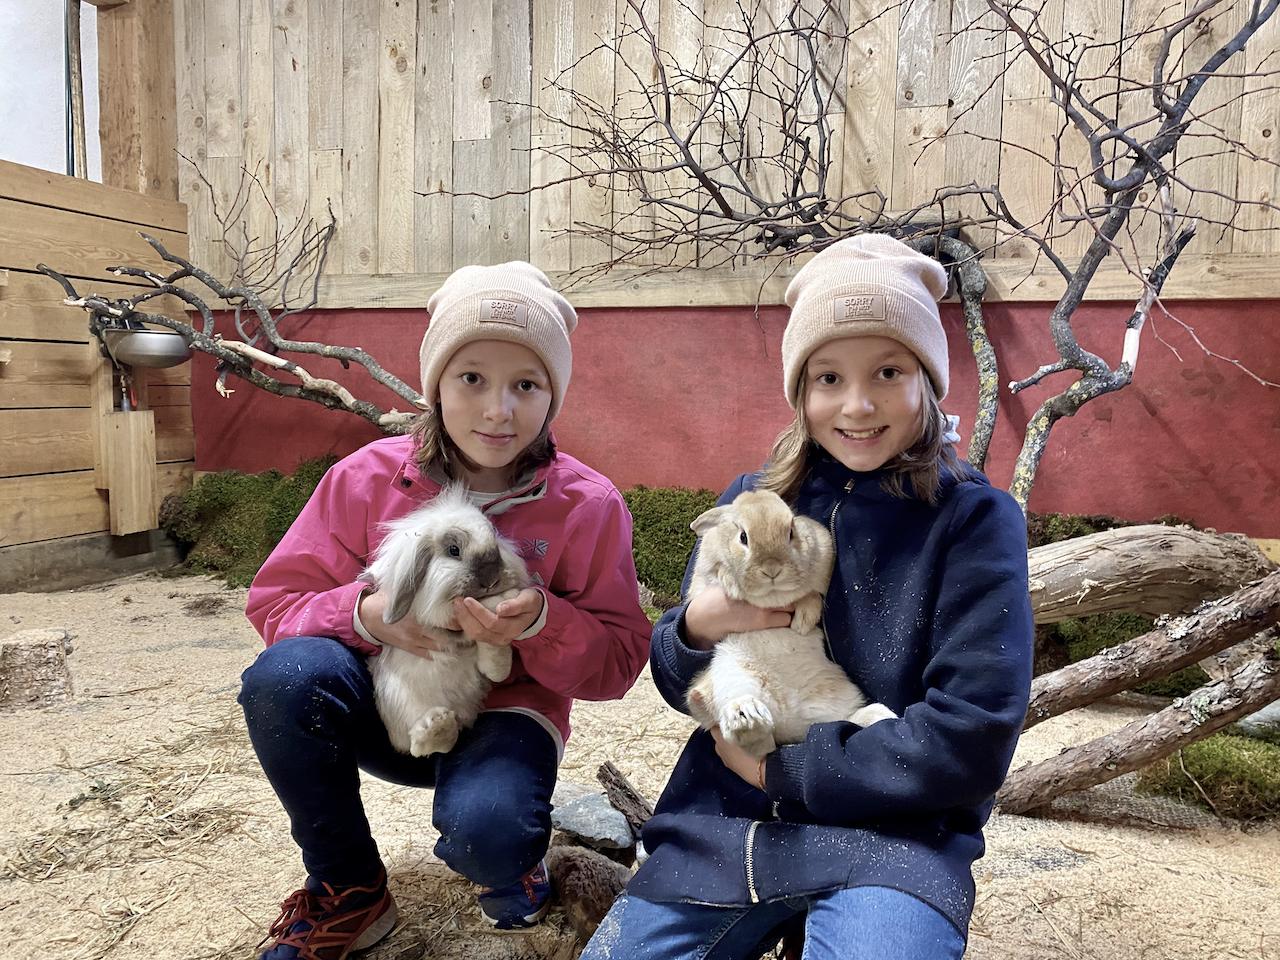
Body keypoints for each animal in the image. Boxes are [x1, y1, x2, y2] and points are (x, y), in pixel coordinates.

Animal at [361, 485, 531, 758]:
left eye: (495, 540)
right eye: (454, 550)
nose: (491, 580)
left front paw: (504, 598)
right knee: (417, 744)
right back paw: (436, 725)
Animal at [685, 489, 897, 759]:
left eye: (791, 532)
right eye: (743, 537)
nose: (772, 569)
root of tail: (790, 724)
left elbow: (812, 595)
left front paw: (803, 622)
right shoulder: (703, 575)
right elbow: (715, 571)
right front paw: (730, 583)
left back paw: (882, 715)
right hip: (729, 677)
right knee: (755, 743)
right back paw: (746, 717)